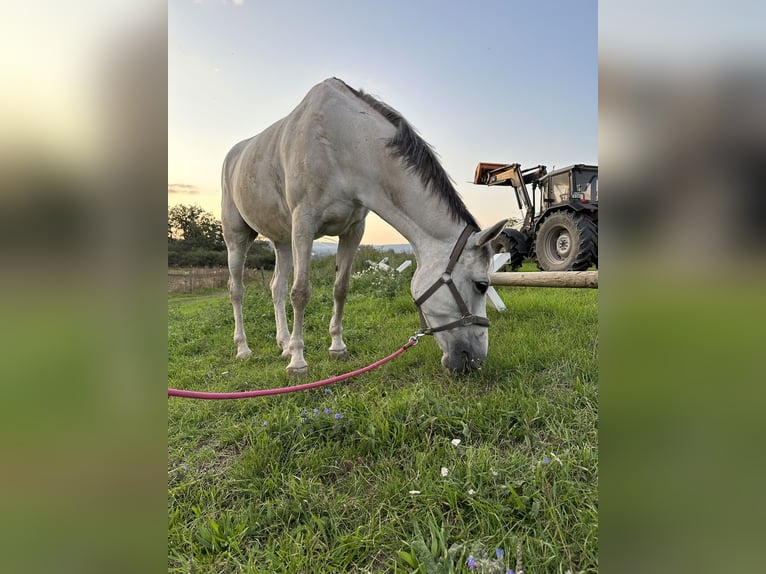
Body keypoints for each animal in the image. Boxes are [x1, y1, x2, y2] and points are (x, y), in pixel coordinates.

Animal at [224, 79, 510, 376]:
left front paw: (336, 347)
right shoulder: (304, 225)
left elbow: (340, 289)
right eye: (481, 285)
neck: (340, 142)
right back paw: (244, 349)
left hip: (282, 242)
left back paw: (283, 344)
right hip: (237, 238)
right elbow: (301, 292)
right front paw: (298, 362)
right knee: (237, 290)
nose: (475, 361)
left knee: (276, 288)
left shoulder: (353, 230)